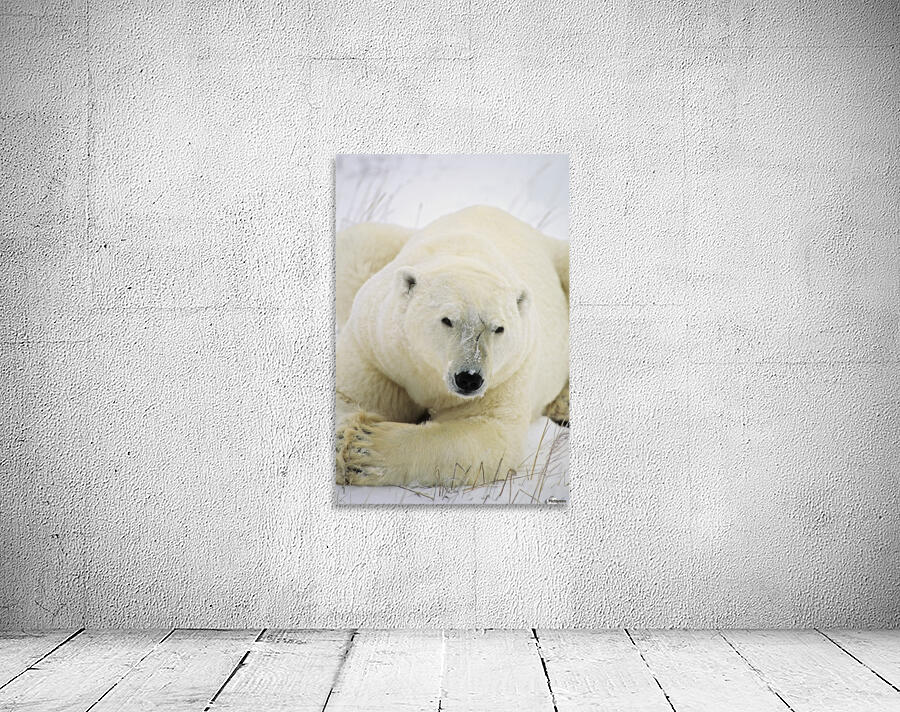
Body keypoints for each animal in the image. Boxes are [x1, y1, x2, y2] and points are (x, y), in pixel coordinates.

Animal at [335, 205, 569, 487]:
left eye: (498, 328)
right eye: (447, 320)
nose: (469, 378)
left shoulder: (508, 373)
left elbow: (488, 433)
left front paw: (365, 446)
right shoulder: (376, 350)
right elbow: (349, 395)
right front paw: (347, 442)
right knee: (358, 241)